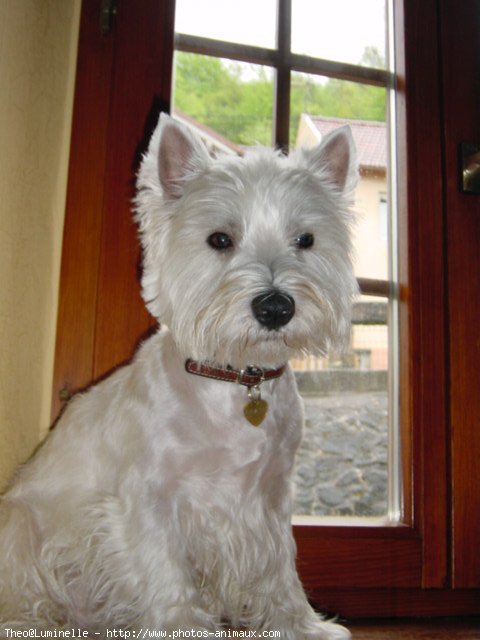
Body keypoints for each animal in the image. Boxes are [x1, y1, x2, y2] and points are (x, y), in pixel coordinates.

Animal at [0, 112, 356, 636]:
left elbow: (279, 568)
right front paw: (183, 626)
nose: (275, 307)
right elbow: (167, 574)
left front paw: (300, 625)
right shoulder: (149, 499)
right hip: (20, 525)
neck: (235, 380)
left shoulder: (270, 499)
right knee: (24, 592)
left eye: (306, 240)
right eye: (220, 239)